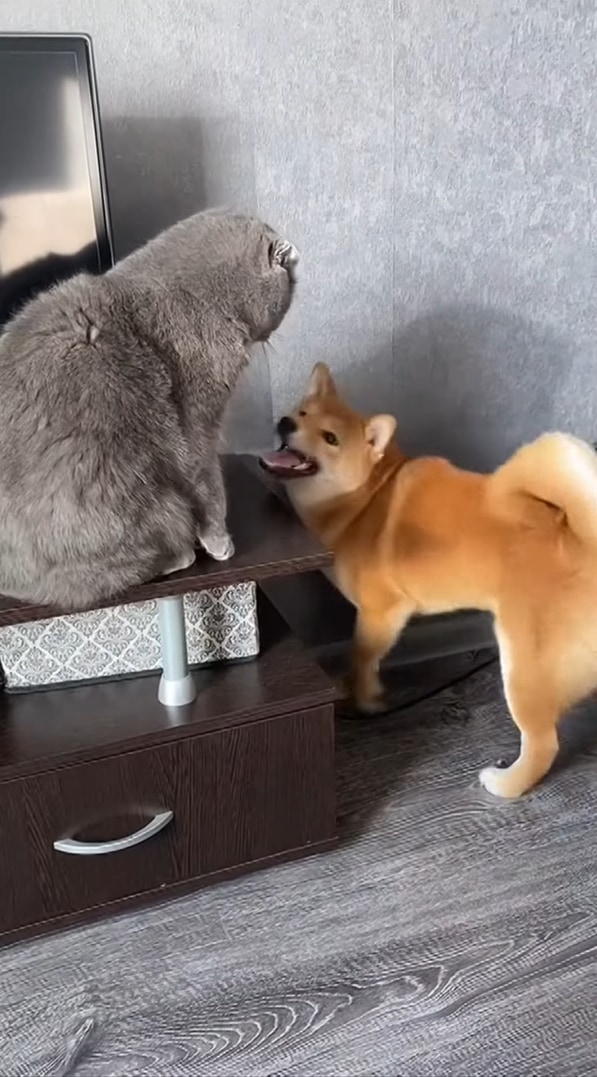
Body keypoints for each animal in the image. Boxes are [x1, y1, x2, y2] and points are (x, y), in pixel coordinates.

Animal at [261, 362, 597, 798]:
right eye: (301, 413)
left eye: (330, 439)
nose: (285, 423)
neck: (365, 499)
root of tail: (582, 539)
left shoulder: (382, 612)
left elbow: (362, 657)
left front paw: (365, 697)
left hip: (524, 668)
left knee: (543, 744)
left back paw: (506, 783)